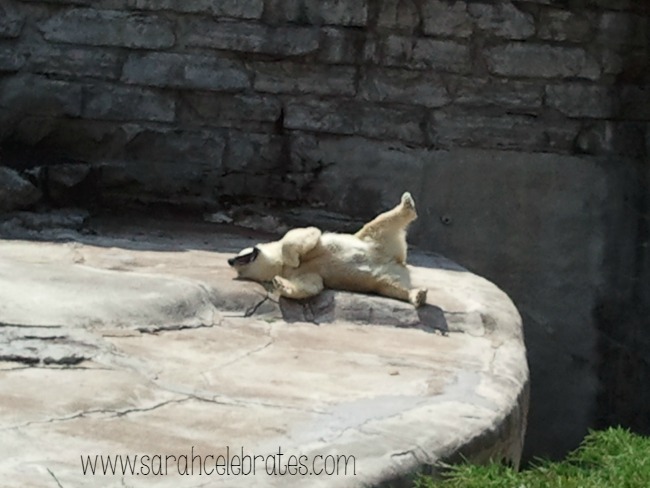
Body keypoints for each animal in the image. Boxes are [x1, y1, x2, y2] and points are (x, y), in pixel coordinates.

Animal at [227, 192, 428, 307]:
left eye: (241, 257)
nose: (230, 260)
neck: (280, 265)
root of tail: (397, 262)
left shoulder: (313, 246)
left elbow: (302, 234)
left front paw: (292, 258)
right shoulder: (303, 273)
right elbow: (311, 285)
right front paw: (279, 283)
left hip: (372, 240)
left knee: (378, 224)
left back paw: (407, 203)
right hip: (385, 273)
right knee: (391, 286)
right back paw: (417, 295)